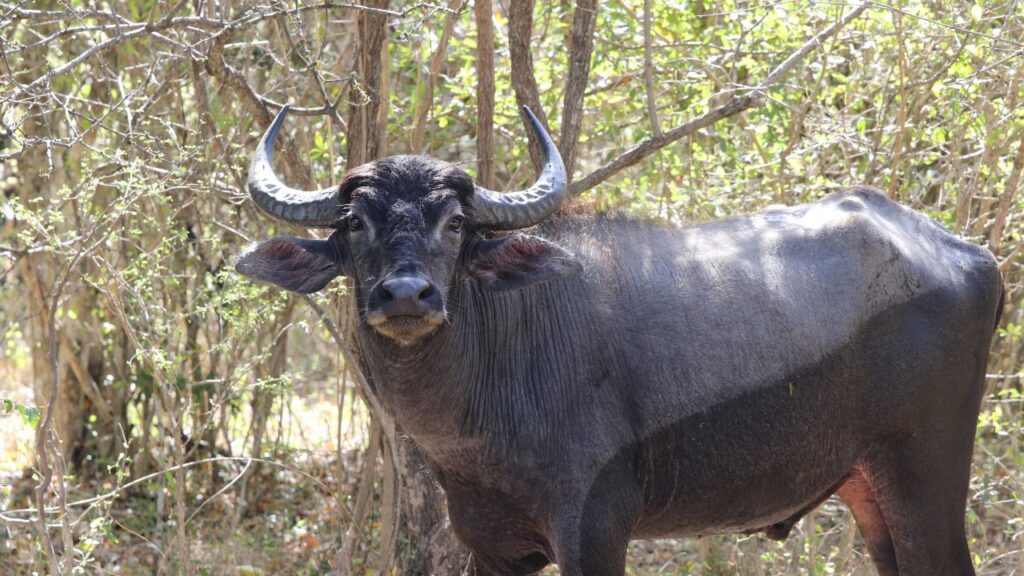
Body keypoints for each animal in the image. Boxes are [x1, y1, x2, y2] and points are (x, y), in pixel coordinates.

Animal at [236, 105, 1003, 576]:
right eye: (356, 222)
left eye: (454, 223)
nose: (405, 296)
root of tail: (971, 256)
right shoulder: (490, 547)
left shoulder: (595, 533)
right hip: (870, 491)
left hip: (925, 481)